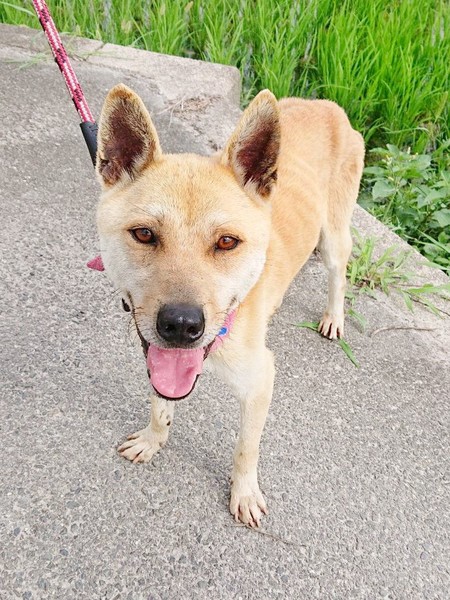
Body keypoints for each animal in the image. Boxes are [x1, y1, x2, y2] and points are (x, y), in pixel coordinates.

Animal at [94, 84, 364, 527]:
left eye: (226, 242)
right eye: (144, 234)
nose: (181, 325)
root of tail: (325, 105)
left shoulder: (260, 383)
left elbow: (246, 449)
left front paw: (245, 492)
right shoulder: (158, 359)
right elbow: (160, 405)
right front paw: (153, 439)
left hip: (334, 238)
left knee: (338, 275)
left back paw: (334, 317)